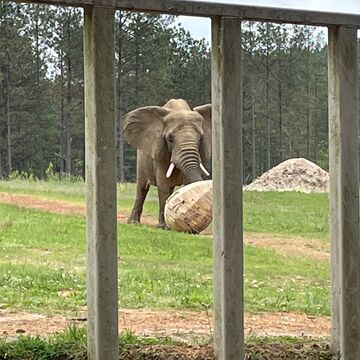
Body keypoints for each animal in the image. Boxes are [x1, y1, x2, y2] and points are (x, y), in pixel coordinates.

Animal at [124, 98, 211, 228]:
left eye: (201, 139)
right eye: (170, 139)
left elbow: (186, 183)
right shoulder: (159, 151)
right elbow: (163, 184)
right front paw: (163, 227)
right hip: (141, 159)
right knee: (142, 188)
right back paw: (134, 223)